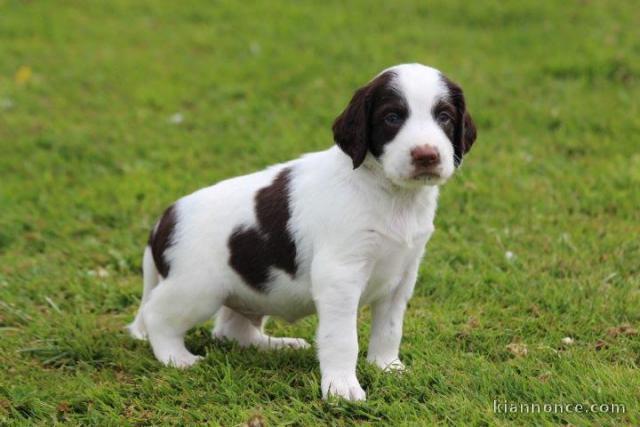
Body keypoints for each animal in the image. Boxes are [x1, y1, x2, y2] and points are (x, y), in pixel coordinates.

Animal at [127, 62, 476, 402]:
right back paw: (177, 358)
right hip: (197, 289)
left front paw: (387, 367)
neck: (390, 194)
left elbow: (389, 329)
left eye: (444, 117)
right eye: (392, 118)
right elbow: (342, 338)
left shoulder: (402, 275)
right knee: (157, 315)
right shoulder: (340, 275)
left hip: (247, 288)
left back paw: (277, 345)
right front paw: (341, 388)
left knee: (232, 330)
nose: (426, 155)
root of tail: (163, 220)